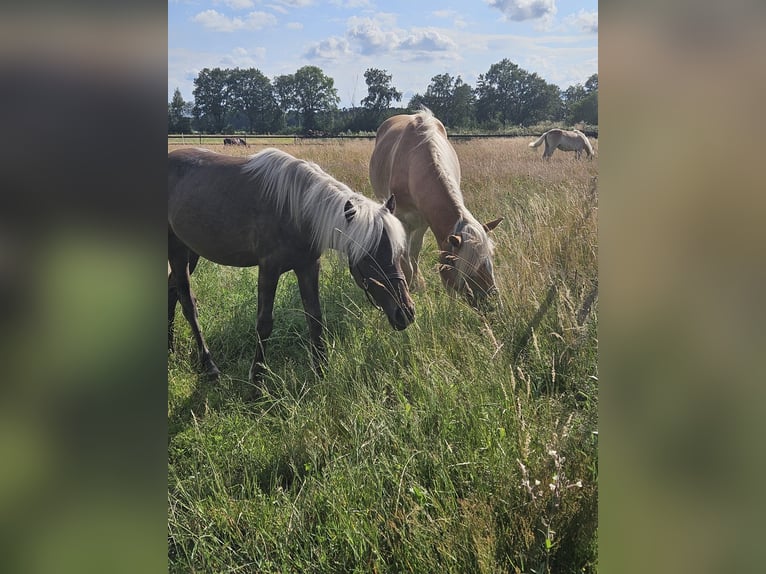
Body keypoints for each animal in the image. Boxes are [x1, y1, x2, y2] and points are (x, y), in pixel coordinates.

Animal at [168, 147, 415, 384]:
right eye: (367, 257)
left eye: (397, 253)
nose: (405, 313)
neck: (297, 210)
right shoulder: (269, 268)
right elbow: (264, 323)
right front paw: (257, 378)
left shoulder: (308, 267)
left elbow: (315, 318)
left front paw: (321, 370)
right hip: (177, 249)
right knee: (187, 301)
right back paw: (209, 365)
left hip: (191, 251)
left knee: (172, 289)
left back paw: (170, 346)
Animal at [369, 108, 503, 307]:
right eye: (465, 266)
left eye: (490, 259)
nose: (492, 303)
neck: (413, 163)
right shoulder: (402, 219)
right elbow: (405, 258)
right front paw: (408, 288)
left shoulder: (424, 222)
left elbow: (414, 253)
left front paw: (417, 285)